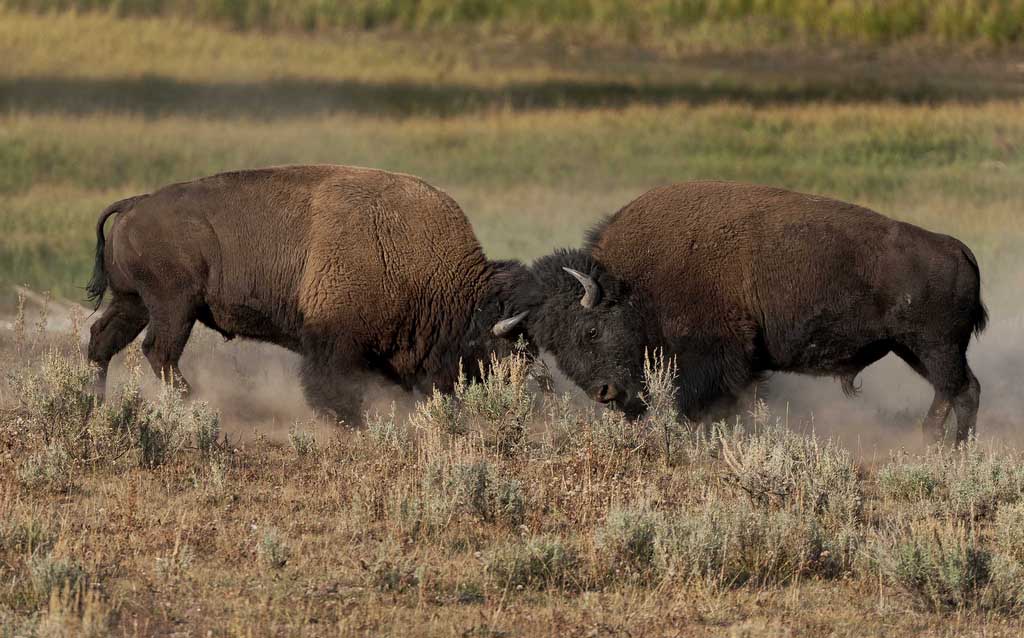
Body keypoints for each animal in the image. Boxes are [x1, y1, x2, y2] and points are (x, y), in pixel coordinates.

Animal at [86, 164, 528, 423]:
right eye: (502, 348)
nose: (520, 391)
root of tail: (137, 204)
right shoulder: (335, 342)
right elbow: (332, 389)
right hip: (174, 305)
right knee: (159, 351)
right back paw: (196, 402)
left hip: (135, 303)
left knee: (102, 340)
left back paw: (95, 401)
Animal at [509, 181, 983, 444]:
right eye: (554, 349)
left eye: (590, 331)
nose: (603, 393)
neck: (632, 285)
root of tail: (957, 248)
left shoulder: (717, 361)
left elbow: (709, 405)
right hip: (915, 350)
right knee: (965, 390)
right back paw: (955, 447)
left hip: (934, 347)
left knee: (953, 390)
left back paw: (932, 443)